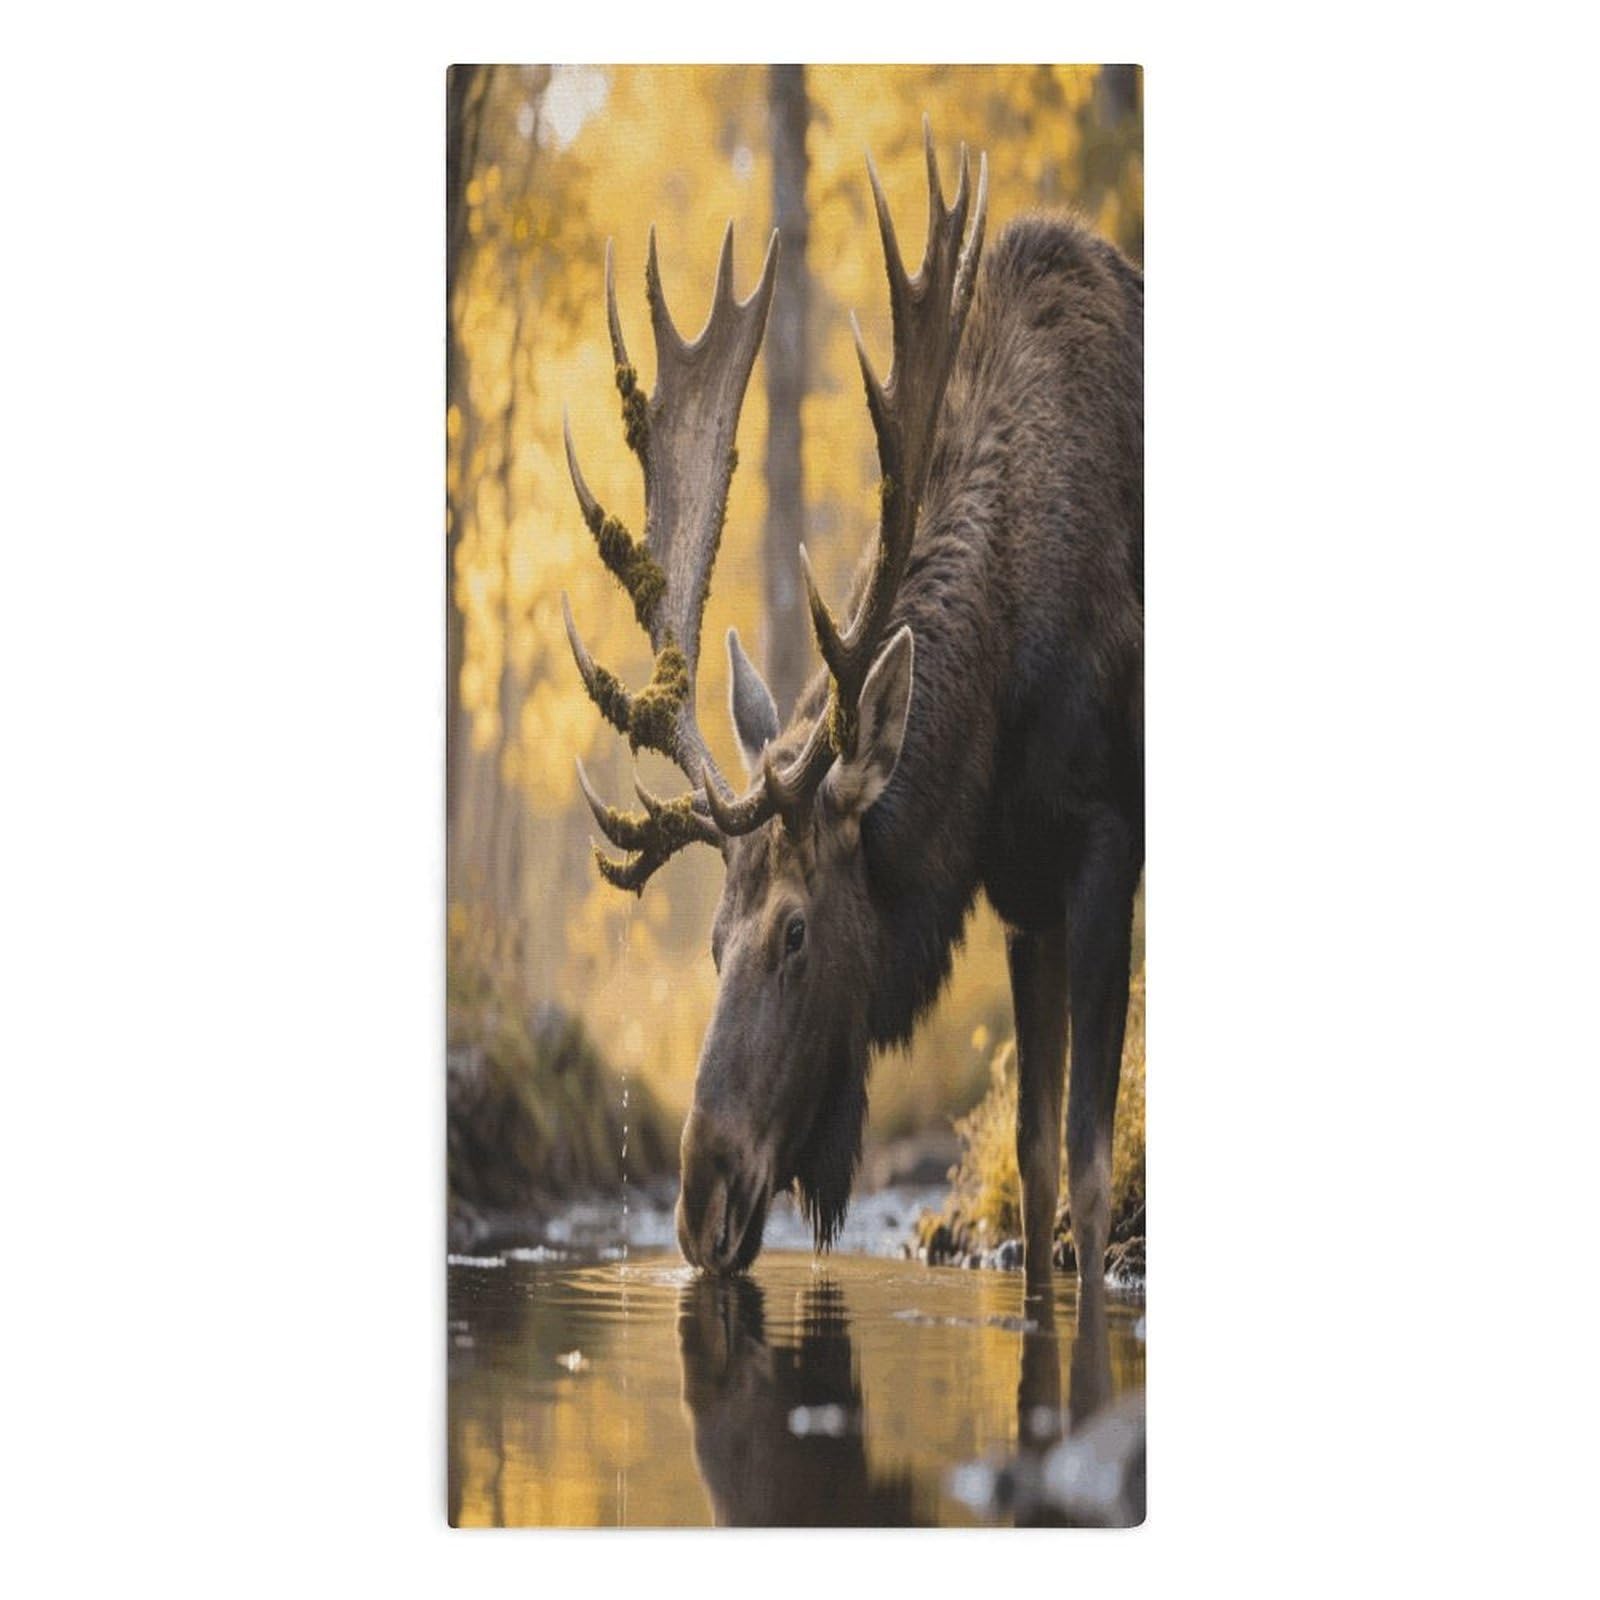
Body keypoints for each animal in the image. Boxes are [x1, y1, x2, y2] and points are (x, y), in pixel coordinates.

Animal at [560, 119, 1143, 1292]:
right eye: (712, 940)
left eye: (795, 933)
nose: (698, 1205)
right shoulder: (1022, 892)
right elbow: (1035, 1166)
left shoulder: (1107, 831)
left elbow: (1091, 1175)